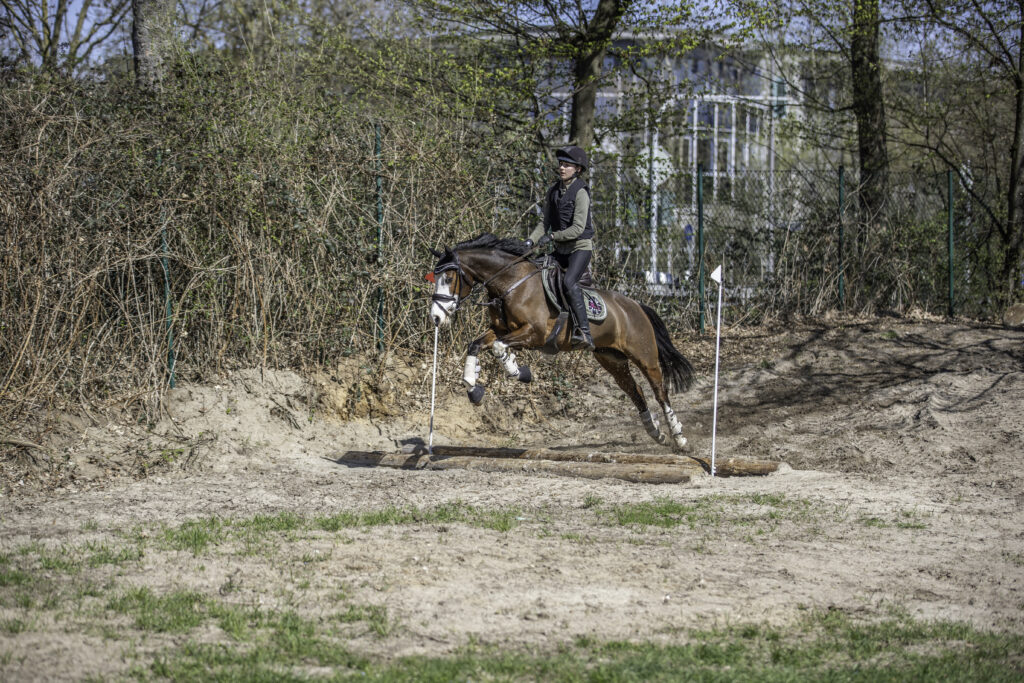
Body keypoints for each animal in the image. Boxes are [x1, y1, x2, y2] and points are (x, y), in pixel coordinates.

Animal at [426, 233, 696, 452]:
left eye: (448, 278)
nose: (436, 317)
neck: (512, 283)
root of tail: (636, 305)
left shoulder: (535, 334)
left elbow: (498, 347)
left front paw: (518, 371)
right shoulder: (500, 329)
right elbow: (477, 345)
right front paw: (474, 388)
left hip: (644, 356)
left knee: (660, 391)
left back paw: (679, 437)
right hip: (612, 359)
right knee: (635, 390)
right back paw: (656, 432)